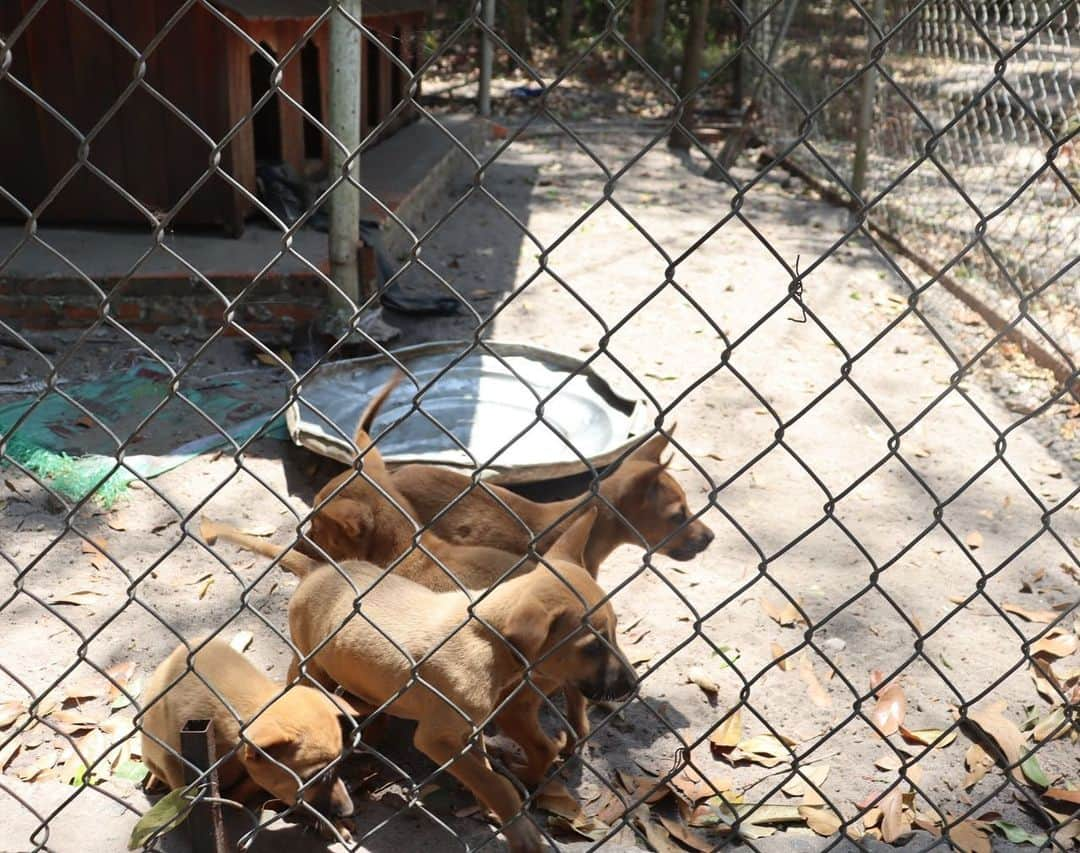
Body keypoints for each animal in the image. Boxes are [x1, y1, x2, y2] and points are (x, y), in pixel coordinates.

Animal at [287, 513, 639, 853]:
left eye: (615, 629)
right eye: (592, 647)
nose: (633, 685)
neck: (487, 641)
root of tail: (319, 570)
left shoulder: (470, 730)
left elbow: (483, 771)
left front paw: (492, 807)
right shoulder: (435, 738)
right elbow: (497, 783)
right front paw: (518, 826)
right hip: (308, 663)